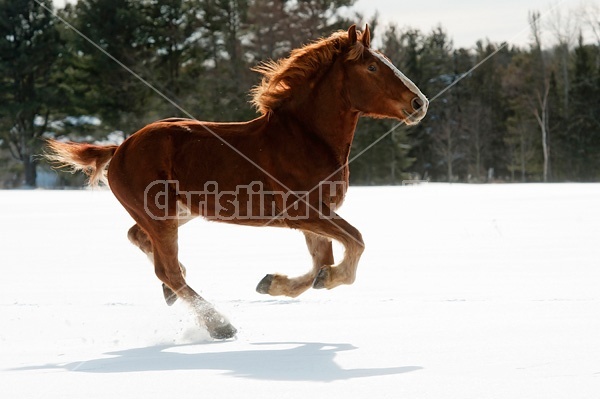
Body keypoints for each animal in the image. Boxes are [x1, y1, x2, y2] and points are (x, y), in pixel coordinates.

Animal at [49, 25, 428, 340]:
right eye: (372, 67)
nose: (419, 103)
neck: (306, 138)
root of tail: (119, 149)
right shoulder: (303, 212)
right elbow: (356, 243)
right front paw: (325, 278)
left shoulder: (315, 219)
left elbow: (320, 265)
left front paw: (272, 283)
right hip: (161, 217)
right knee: (166, 270)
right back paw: (219, 325)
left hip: (179, 212)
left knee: (141, 242)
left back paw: (177, 295)